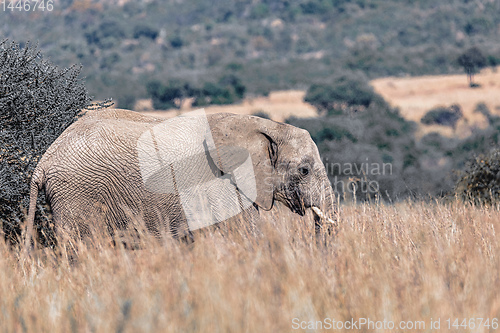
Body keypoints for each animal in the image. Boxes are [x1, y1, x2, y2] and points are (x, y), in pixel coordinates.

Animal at [24, 109, 336, 246]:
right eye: (304, 170)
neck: (263, 125)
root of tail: (45, 160)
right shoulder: (223, 184)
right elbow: (246, 236)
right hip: (78, 192)